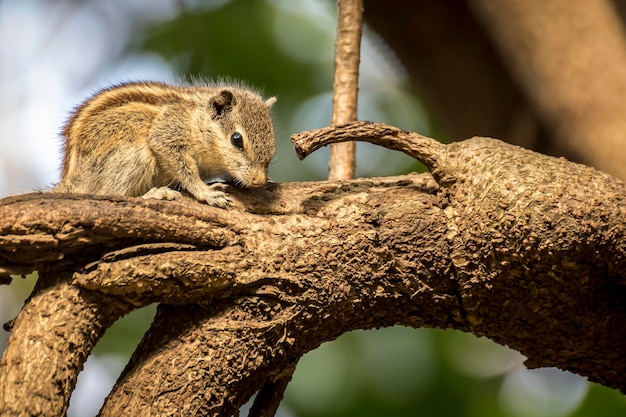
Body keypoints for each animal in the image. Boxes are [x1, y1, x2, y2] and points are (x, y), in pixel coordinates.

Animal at [54, 80, 274, 206]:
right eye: (236, 139)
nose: (259, 180)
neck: (196, 118)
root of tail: (72, 183)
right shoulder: (168, 133)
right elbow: (184, 168)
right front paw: (205, 192)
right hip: (135, 155)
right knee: (109, 194)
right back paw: (155, 195)